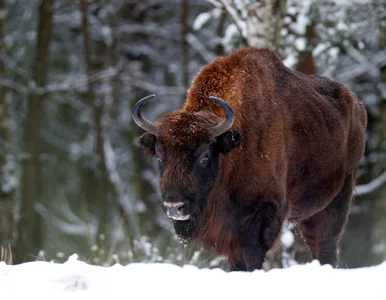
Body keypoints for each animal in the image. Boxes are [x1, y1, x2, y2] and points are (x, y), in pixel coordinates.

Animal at [133, 47, 368, 272]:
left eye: (205, 155)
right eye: (160, 156)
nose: (174, 206)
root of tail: (358, 106)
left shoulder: (266, 213)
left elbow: (252, 254)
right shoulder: (230, 232)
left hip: (339, 196)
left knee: (327, 244)